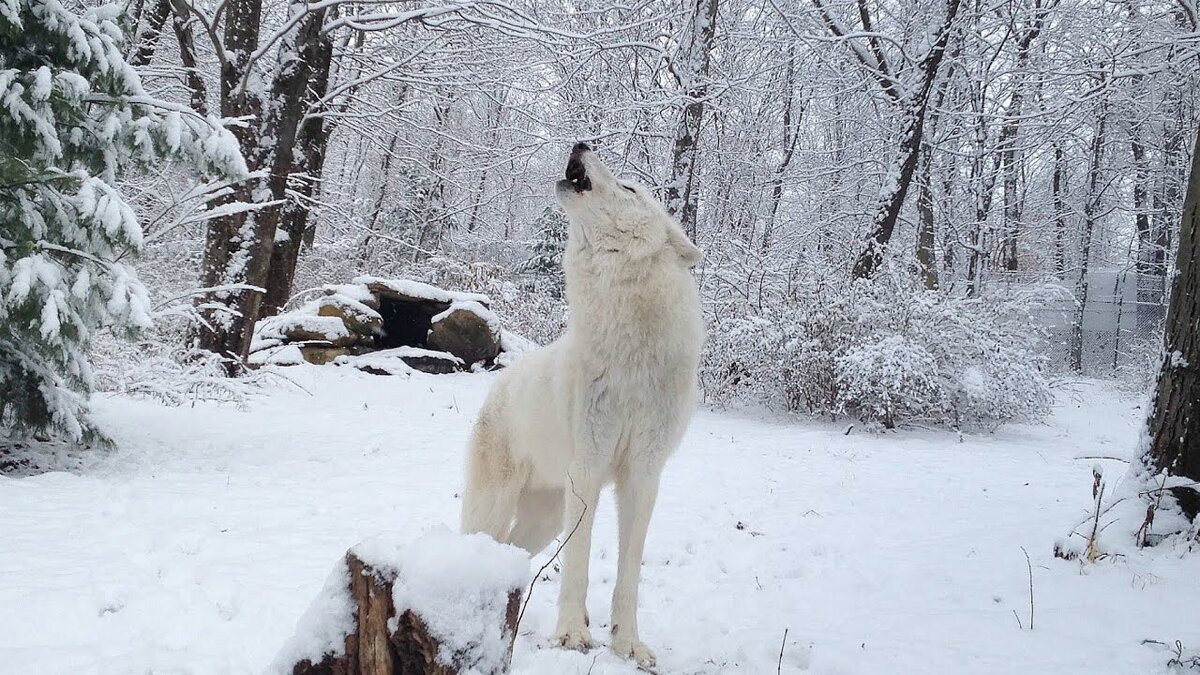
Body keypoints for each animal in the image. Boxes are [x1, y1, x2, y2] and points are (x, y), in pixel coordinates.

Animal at [458, 144, 700, 662]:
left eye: (629, 188)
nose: (581, 144)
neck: (629, 353)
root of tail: (499, 383)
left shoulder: (643, 476)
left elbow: (629, 575)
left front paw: (628, 644)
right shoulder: (587, 469)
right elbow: (579, 561)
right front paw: (572, 633)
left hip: (544, 518)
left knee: (513, 553)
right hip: (500, 506)